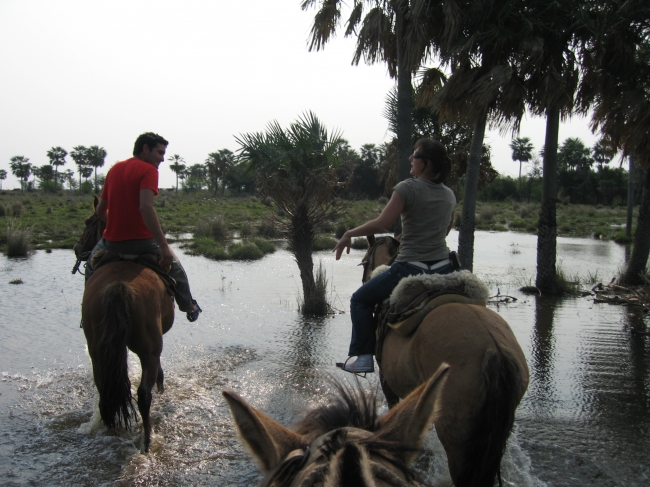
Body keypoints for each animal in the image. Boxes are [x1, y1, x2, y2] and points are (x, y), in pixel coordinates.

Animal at [77, 196, 173, 452]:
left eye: (88, 221)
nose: (77, 249)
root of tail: (118, 285)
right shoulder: (156, 343)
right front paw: (161, 382)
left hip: (97, 349)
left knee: (105, 387)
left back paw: (111, 427)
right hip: (148, 348)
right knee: (143, 395)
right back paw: (147, 440)